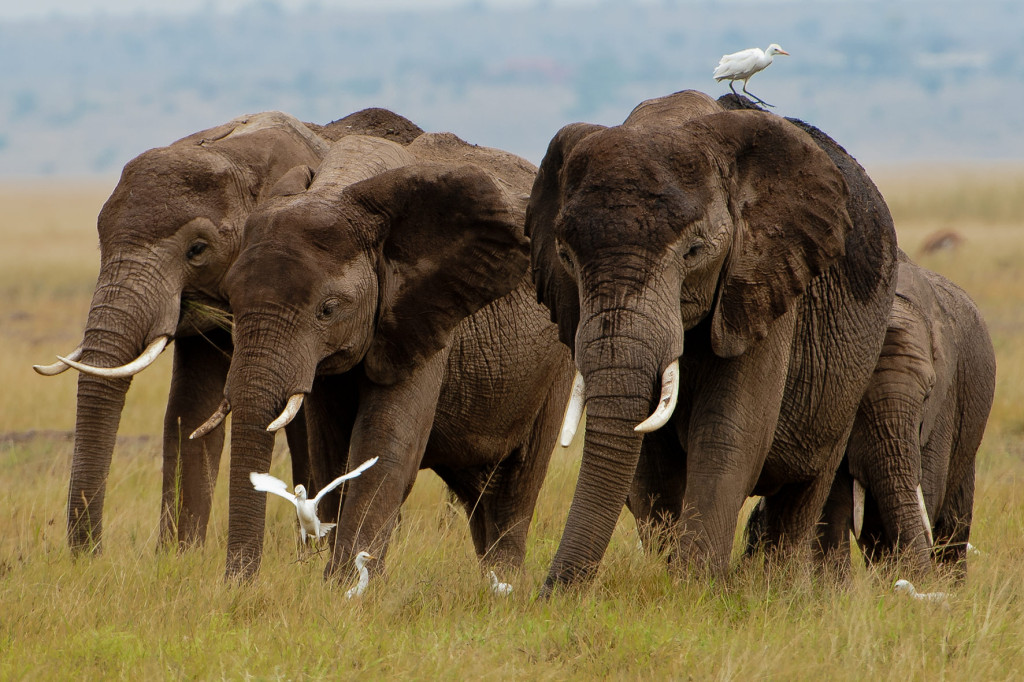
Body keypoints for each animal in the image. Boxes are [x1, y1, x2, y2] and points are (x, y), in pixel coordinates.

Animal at [33, 107, 423, 552]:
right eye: (101, 243)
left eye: (197, 250)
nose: (90, 555)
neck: (235, 154)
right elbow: (189, 411)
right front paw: (178, 556)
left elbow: (297, 426)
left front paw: (307, 553)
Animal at [192, 130, 573, 577]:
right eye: (231, 302)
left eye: (328, 310)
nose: (237, 582)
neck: (341, 187)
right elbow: (333, 457)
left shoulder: (424, 316)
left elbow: (385, 449)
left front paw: (342, 584)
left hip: (556, 356)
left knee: (517, 485)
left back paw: (505, 584)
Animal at [528, 90, 897, 589]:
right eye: (565, 256)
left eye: (694, 252)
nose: (550, 594)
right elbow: (650, 464)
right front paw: (673, 579)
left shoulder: (762, 281)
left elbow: (727, 433)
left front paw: (692, 589)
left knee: (806, 489)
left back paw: (777, 589)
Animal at [806, 254, 991, 573]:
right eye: (855, 397)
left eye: (928, 393)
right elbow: (830, 504)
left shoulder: (942, 402)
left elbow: (926, 491)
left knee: (952, 526)